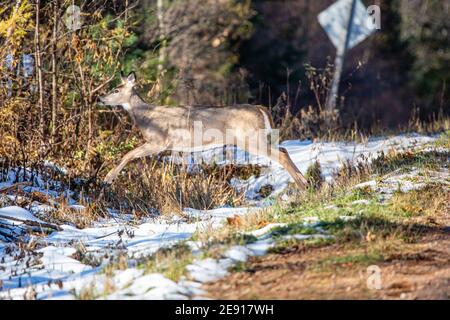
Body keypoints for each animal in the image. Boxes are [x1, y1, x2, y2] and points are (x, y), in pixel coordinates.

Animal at [100, 72, 308, 190]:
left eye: (116, 90)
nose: (101, 98)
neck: (146, 116)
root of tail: (261, 109)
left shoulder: (159, 142)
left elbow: (128, 154)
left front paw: (108, 179)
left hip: (250, 139)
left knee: (281, 154)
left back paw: (302, 186)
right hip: (258, 138)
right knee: (284, 149)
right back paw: (306, 182)